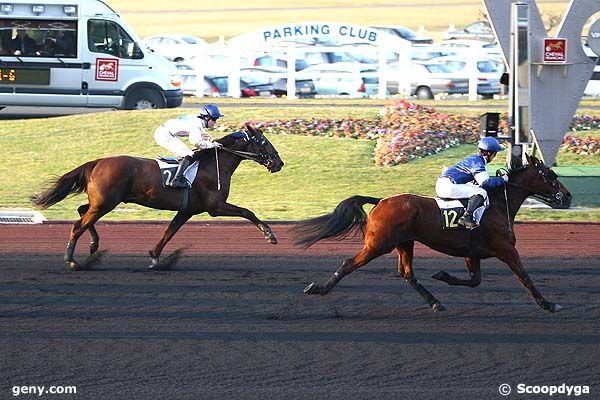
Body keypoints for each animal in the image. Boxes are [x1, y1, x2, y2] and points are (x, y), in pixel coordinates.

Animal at [31, 123, 284, 270]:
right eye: (264, 141)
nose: (279, 163)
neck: (213, 165)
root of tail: (96, 162)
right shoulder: (215, 206)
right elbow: (247, 211)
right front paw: (270, 235)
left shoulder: (186, 210)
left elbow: (168, 233)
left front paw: (155, 257)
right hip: (106, 203)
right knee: (78, 225)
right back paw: (72, 260)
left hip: (101, 202)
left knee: (82, 212)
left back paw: (94, 244)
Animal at [296, 153, 572, 312]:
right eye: (550, 174)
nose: (567, 196)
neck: (496, 205)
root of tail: (381, 200)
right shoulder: (506, 249)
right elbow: (525, 277)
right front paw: (549, 304)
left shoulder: (472, 253)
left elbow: (475, 281)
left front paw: (442, 275)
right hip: (379, 244)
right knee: (348, 263)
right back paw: (318, 288)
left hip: (405, 243)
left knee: (407, 273)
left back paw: (435, 301)